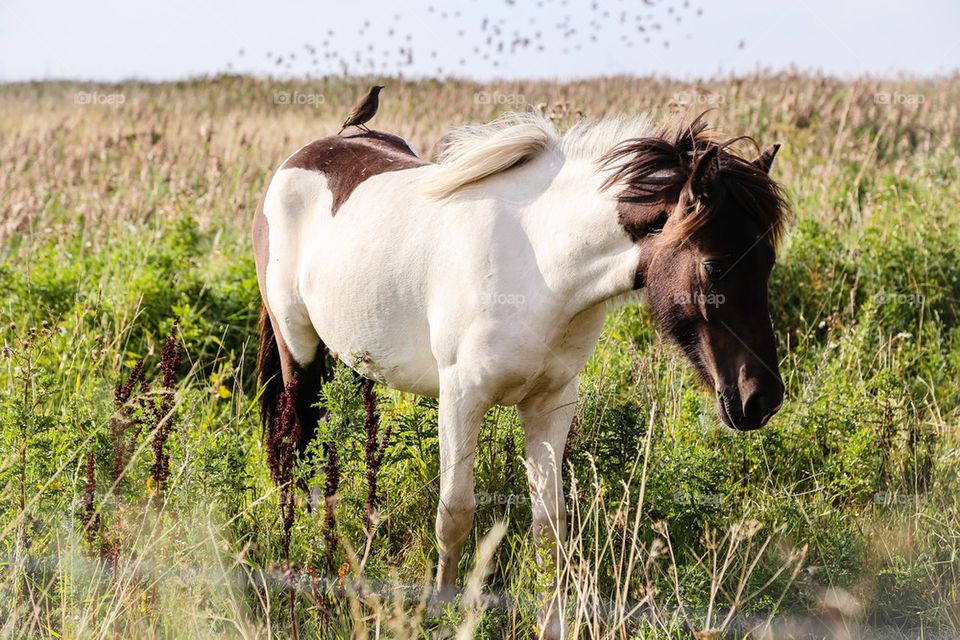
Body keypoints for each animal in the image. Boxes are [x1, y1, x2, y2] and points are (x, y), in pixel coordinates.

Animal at [253, 111, 788, 636]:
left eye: (767, 264)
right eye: (714, 266)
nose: (761, 399)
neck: (541, 265)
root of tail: (303, 157)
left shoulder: (551, 403)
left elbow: (549, 523)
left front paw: (552, 621)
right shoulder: (461, 398)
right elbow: (455, 513)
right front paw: (442, 614)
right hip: (299, 349)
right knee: (297, 442)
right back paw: (302, 554)